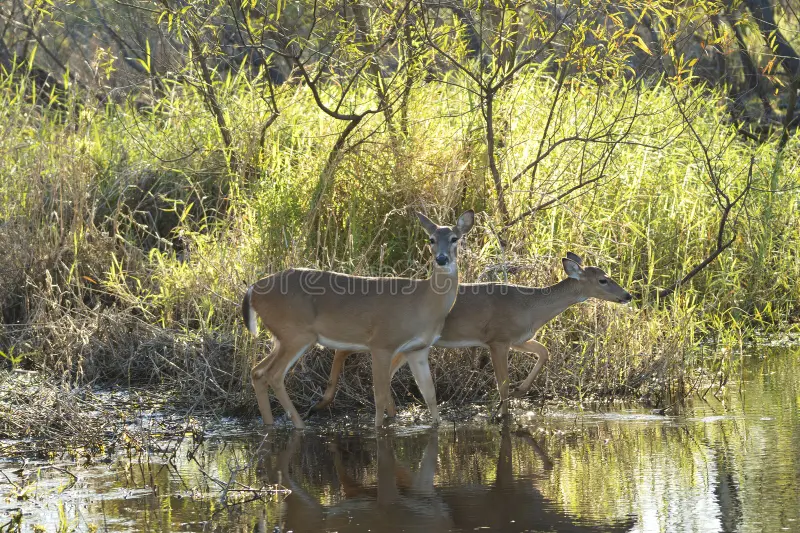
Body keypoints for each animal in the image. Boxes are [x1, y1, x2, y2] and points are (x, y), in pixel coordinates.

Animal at [241, 210, 475, 429]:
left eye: (455, 238)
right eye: (431, 239)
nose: (441, 259)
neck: (423, 303)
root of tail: (252, 290)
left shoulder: (418, 349)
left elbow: (430, 394)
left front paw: (436, 425)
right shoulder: (382, 343)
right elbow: (379, 396)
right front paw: (379, 428)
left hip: (281, 337)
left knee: (257, 372)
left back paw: (270, 424)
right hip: (295, 333)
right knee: (273, 375)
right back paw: (300, 425)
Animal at [314, 252, 633, 418]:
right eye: (603, 280)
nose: (628, 295)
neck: (530, 307)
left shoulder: (517, 338)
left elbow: (544, 351)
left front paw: (521, 390)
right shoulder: (498, 338)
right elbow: (502, 382)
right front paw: (503, 413)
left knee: (381, 367)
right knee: (347, 350)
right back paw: (327, 400)